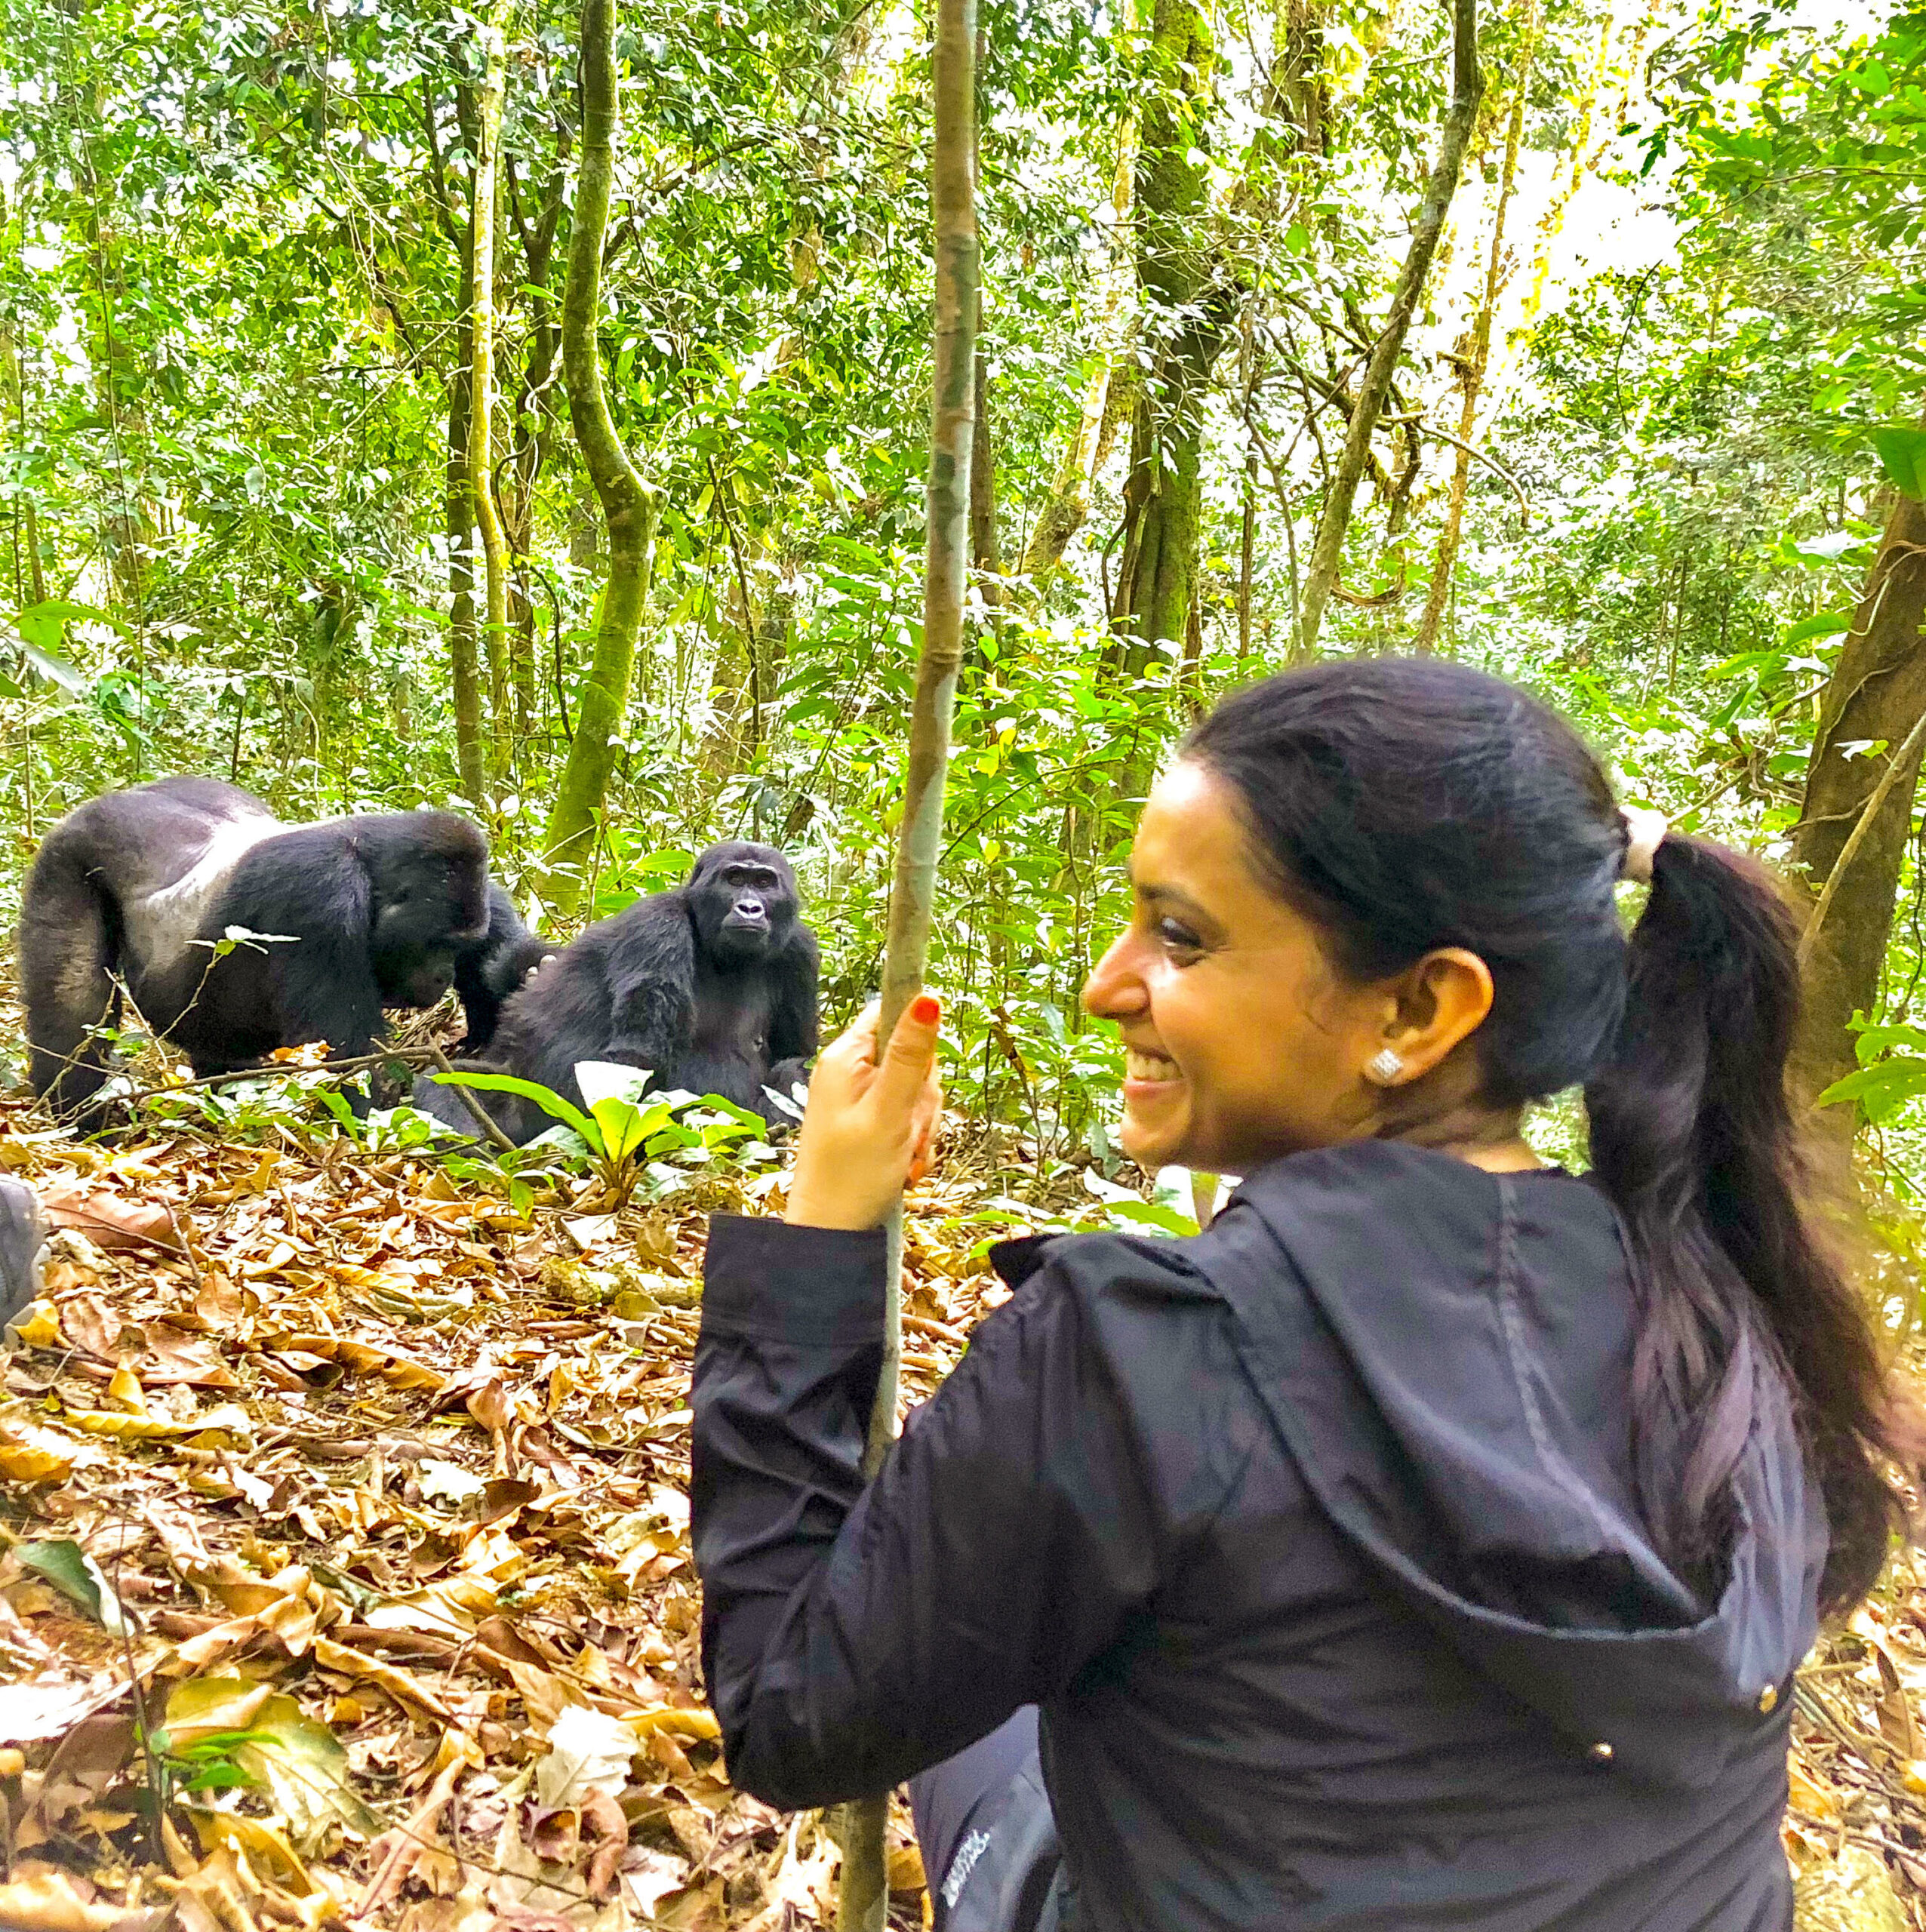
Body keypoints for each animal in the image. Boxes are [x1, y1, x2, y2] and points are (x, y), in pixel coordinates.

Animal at [20, 777, 540, 1128]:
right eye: (437, 945)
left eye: (460, 948)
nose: (441, 978)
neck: (366, 861)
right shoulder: (318, 895)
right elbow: (353, 1069)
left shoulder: (486, 898)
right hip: (65, 856)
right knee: (72, 1009)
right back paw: (77, 1115)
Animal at [417, 838, 815, 1136]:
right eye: (733, 879)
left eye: (764, 883)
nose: (750, 908)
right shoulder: (657, 926)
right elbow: (635, 1062)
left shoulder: (800, 951)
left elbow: (798, 1056)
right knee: (443, 1084)